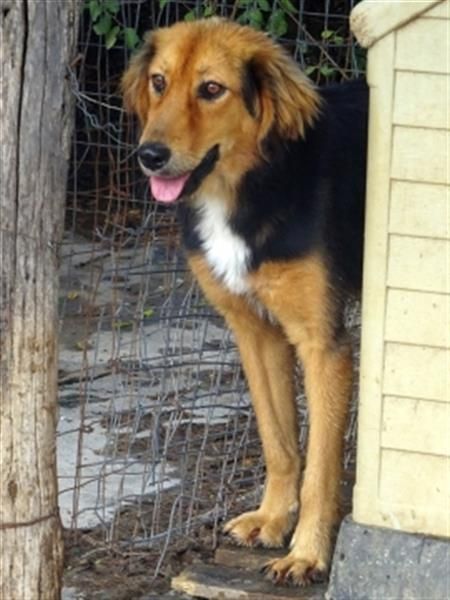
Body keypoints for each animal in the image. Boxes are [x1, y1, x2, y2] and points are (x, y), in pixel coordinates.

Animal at [122, 18, 368, 585]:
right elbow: (278, 442)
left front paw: (307, 552)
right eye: (159, 82)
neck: (246, 187)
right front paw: (273, 520)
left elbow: (321, 466)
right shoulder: (254, 332)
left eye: (212, 90)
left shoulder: (322, 344)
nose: (149, 156)